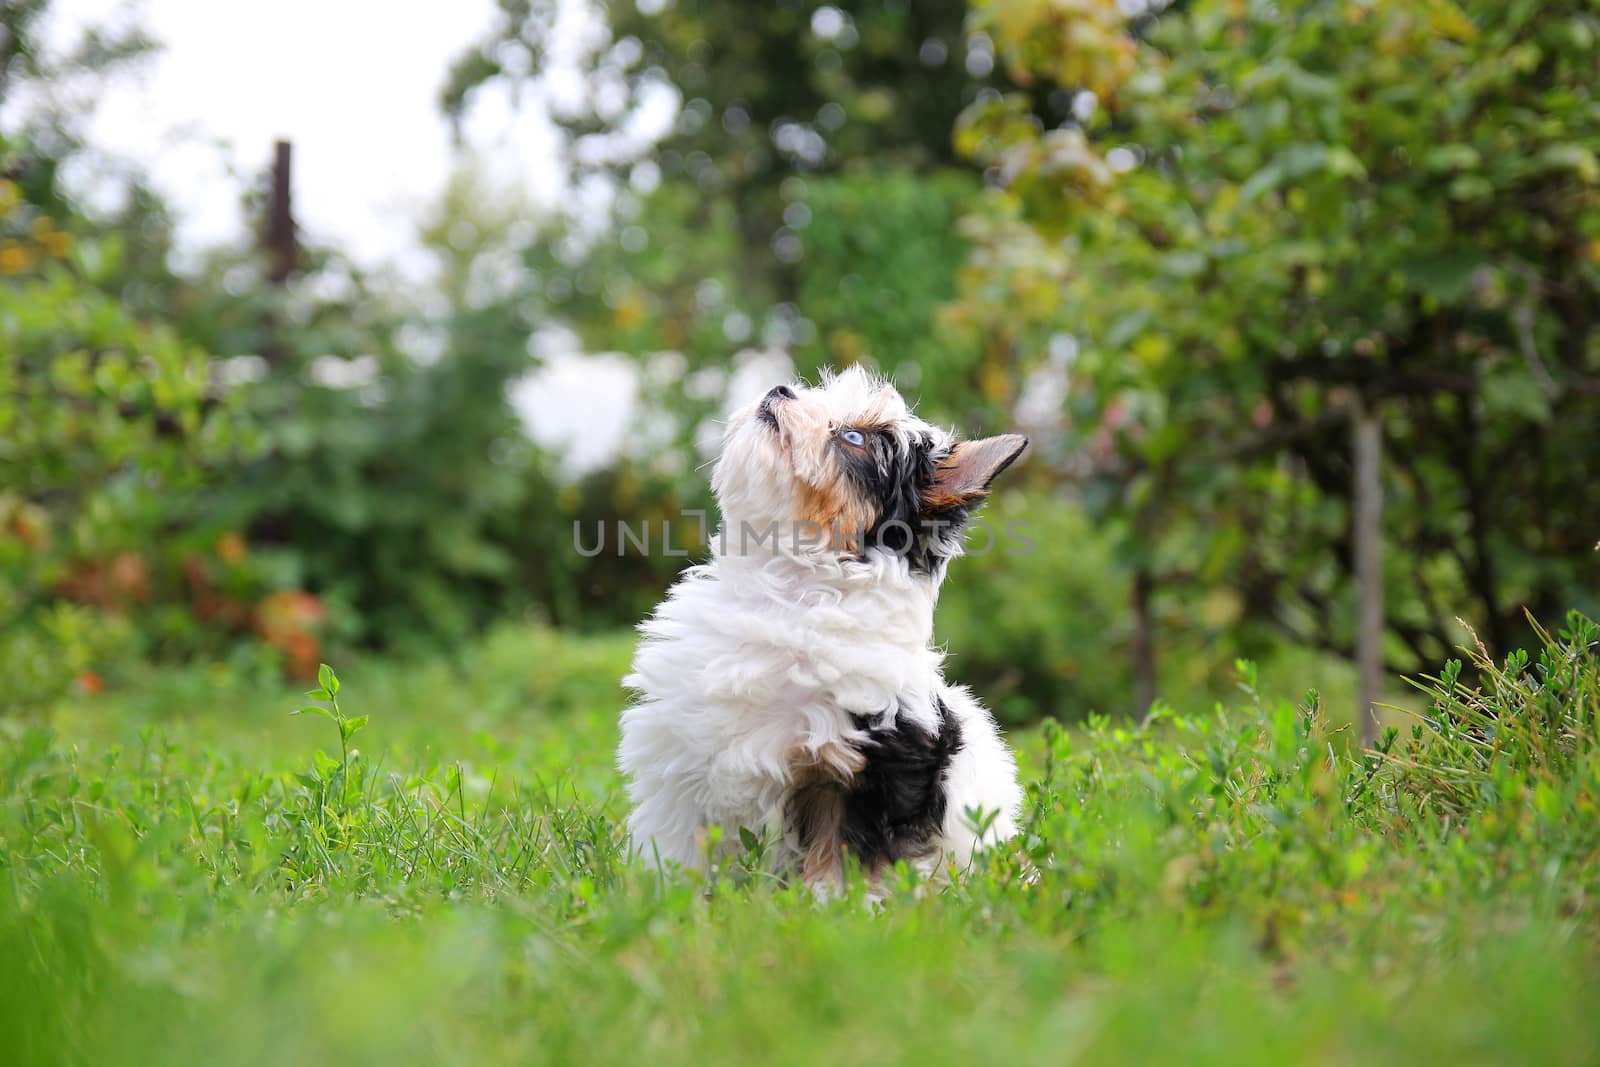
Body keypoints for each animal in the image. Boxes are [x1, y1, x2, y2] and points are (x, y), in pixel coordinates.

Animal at [611, 367, 1024, 895]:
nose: (779, 389)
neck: (787, 592)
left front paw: (833, 904)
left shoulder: (865, 764)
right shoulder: (683, 753)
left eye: (853, 438)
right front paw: (665, 894)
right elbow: (678, 837)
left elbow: (843, 848)